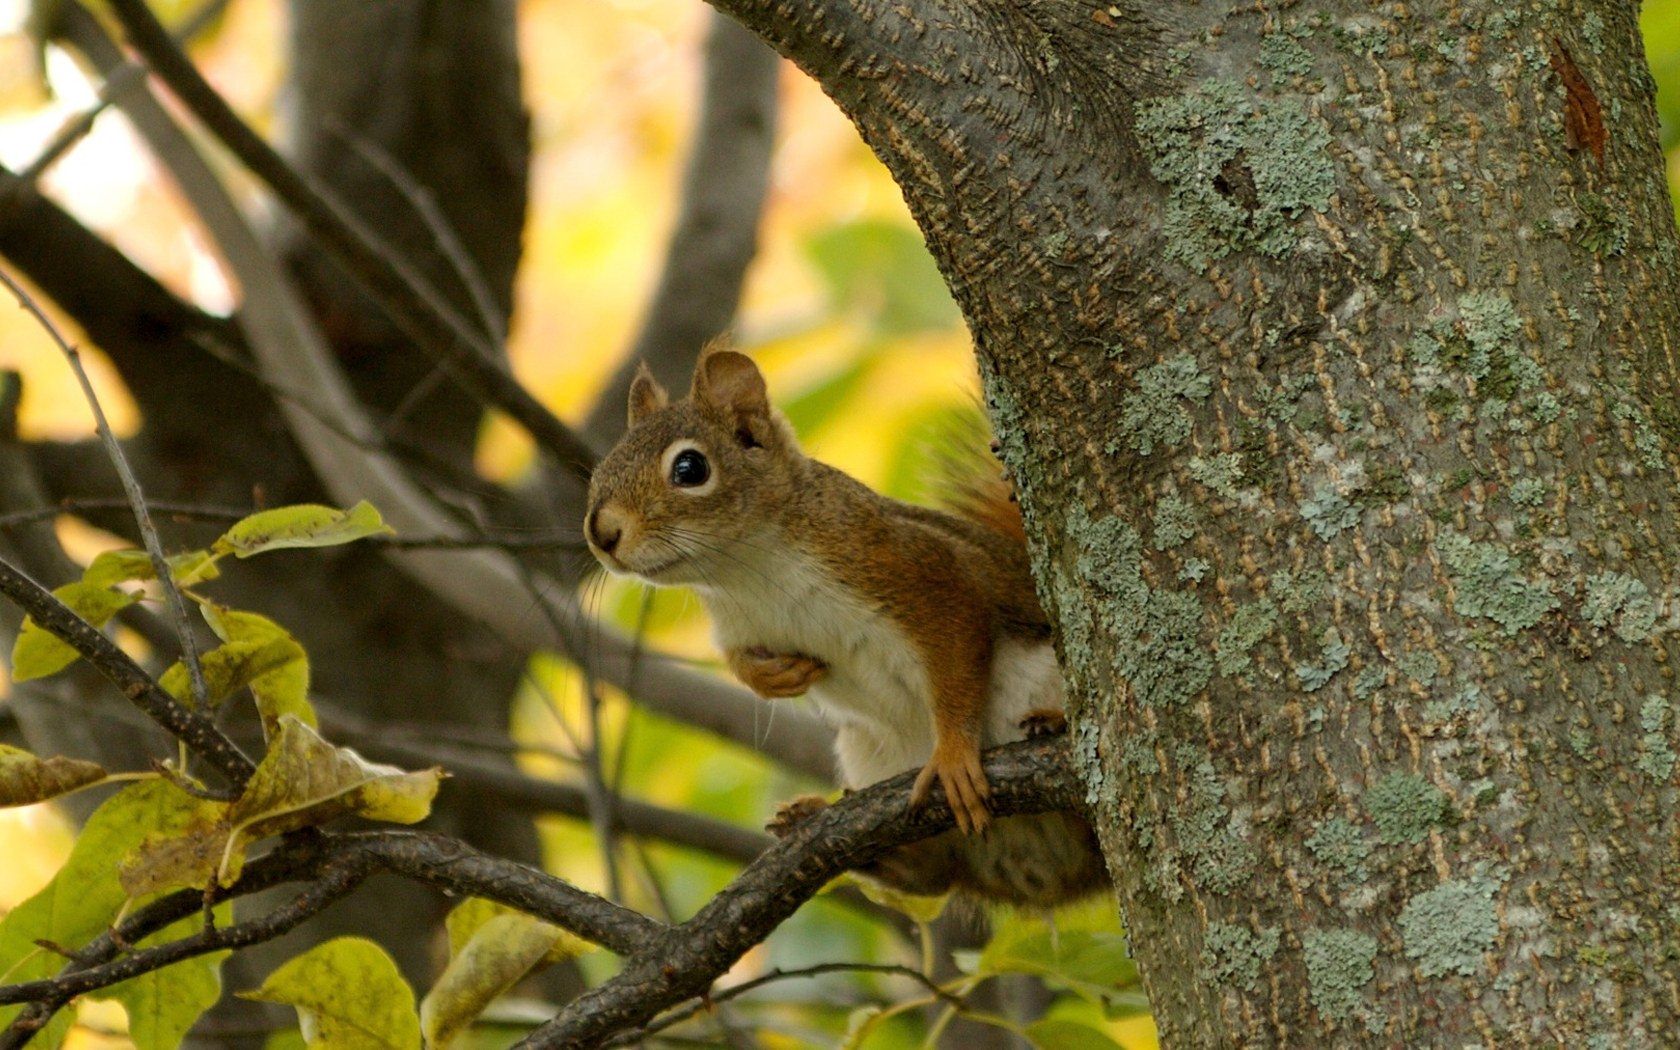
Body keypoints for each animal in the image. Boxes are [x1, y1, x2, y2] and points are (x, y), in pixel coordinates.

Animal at [584, 347, 1108, 907]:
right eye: (601, 469)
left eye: (689, 468)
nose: (601, 533)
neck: (749, 572)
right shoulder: (737, 624)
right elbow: (738, 659)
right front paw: (773, 678)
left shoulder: (919, 573)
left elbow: (958, 654)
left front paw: (953, 756)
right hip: (867, 754)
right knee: (934, 876)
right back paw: (846, 837)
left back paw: (1054, 721)